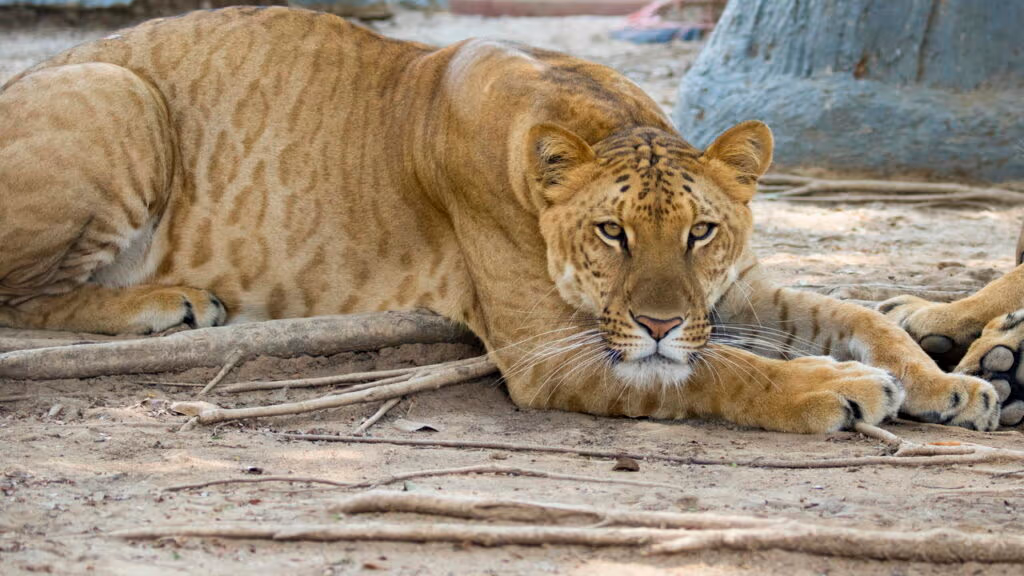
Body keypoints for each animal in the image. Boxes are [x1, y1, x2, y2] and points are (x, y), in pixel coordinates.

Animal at [0, 7, 1000, 433]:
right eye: (611, 233)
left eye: (700, 233)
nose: (659, 320)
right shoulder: (548, 352)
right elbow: (720, 372)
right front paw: (835, 391)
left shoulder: (727, 290)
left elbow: (858, 313)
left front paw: (949, 386)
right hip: (117, 91)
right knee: (20, 297)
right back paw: (165, 303)